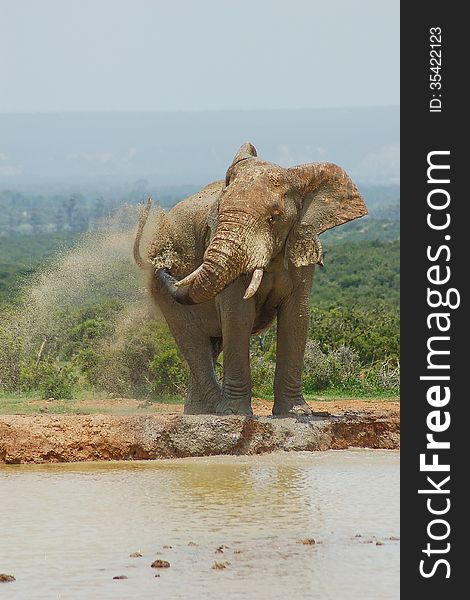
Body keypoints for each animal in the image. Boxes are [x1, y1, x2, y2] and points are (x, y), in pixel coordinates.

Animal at [133, 144, 368, 418]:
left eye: (274, 218)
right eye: (219, 212)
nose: (167, 265)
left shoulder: (301, 244)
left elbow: (296, 317)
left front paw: (297, 413)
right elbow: (238, 315)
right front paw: (235, 414)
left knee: (211, 344)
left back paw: (202, 411)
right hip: (163, 295)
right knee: (192, 341)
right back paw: (214, 408)